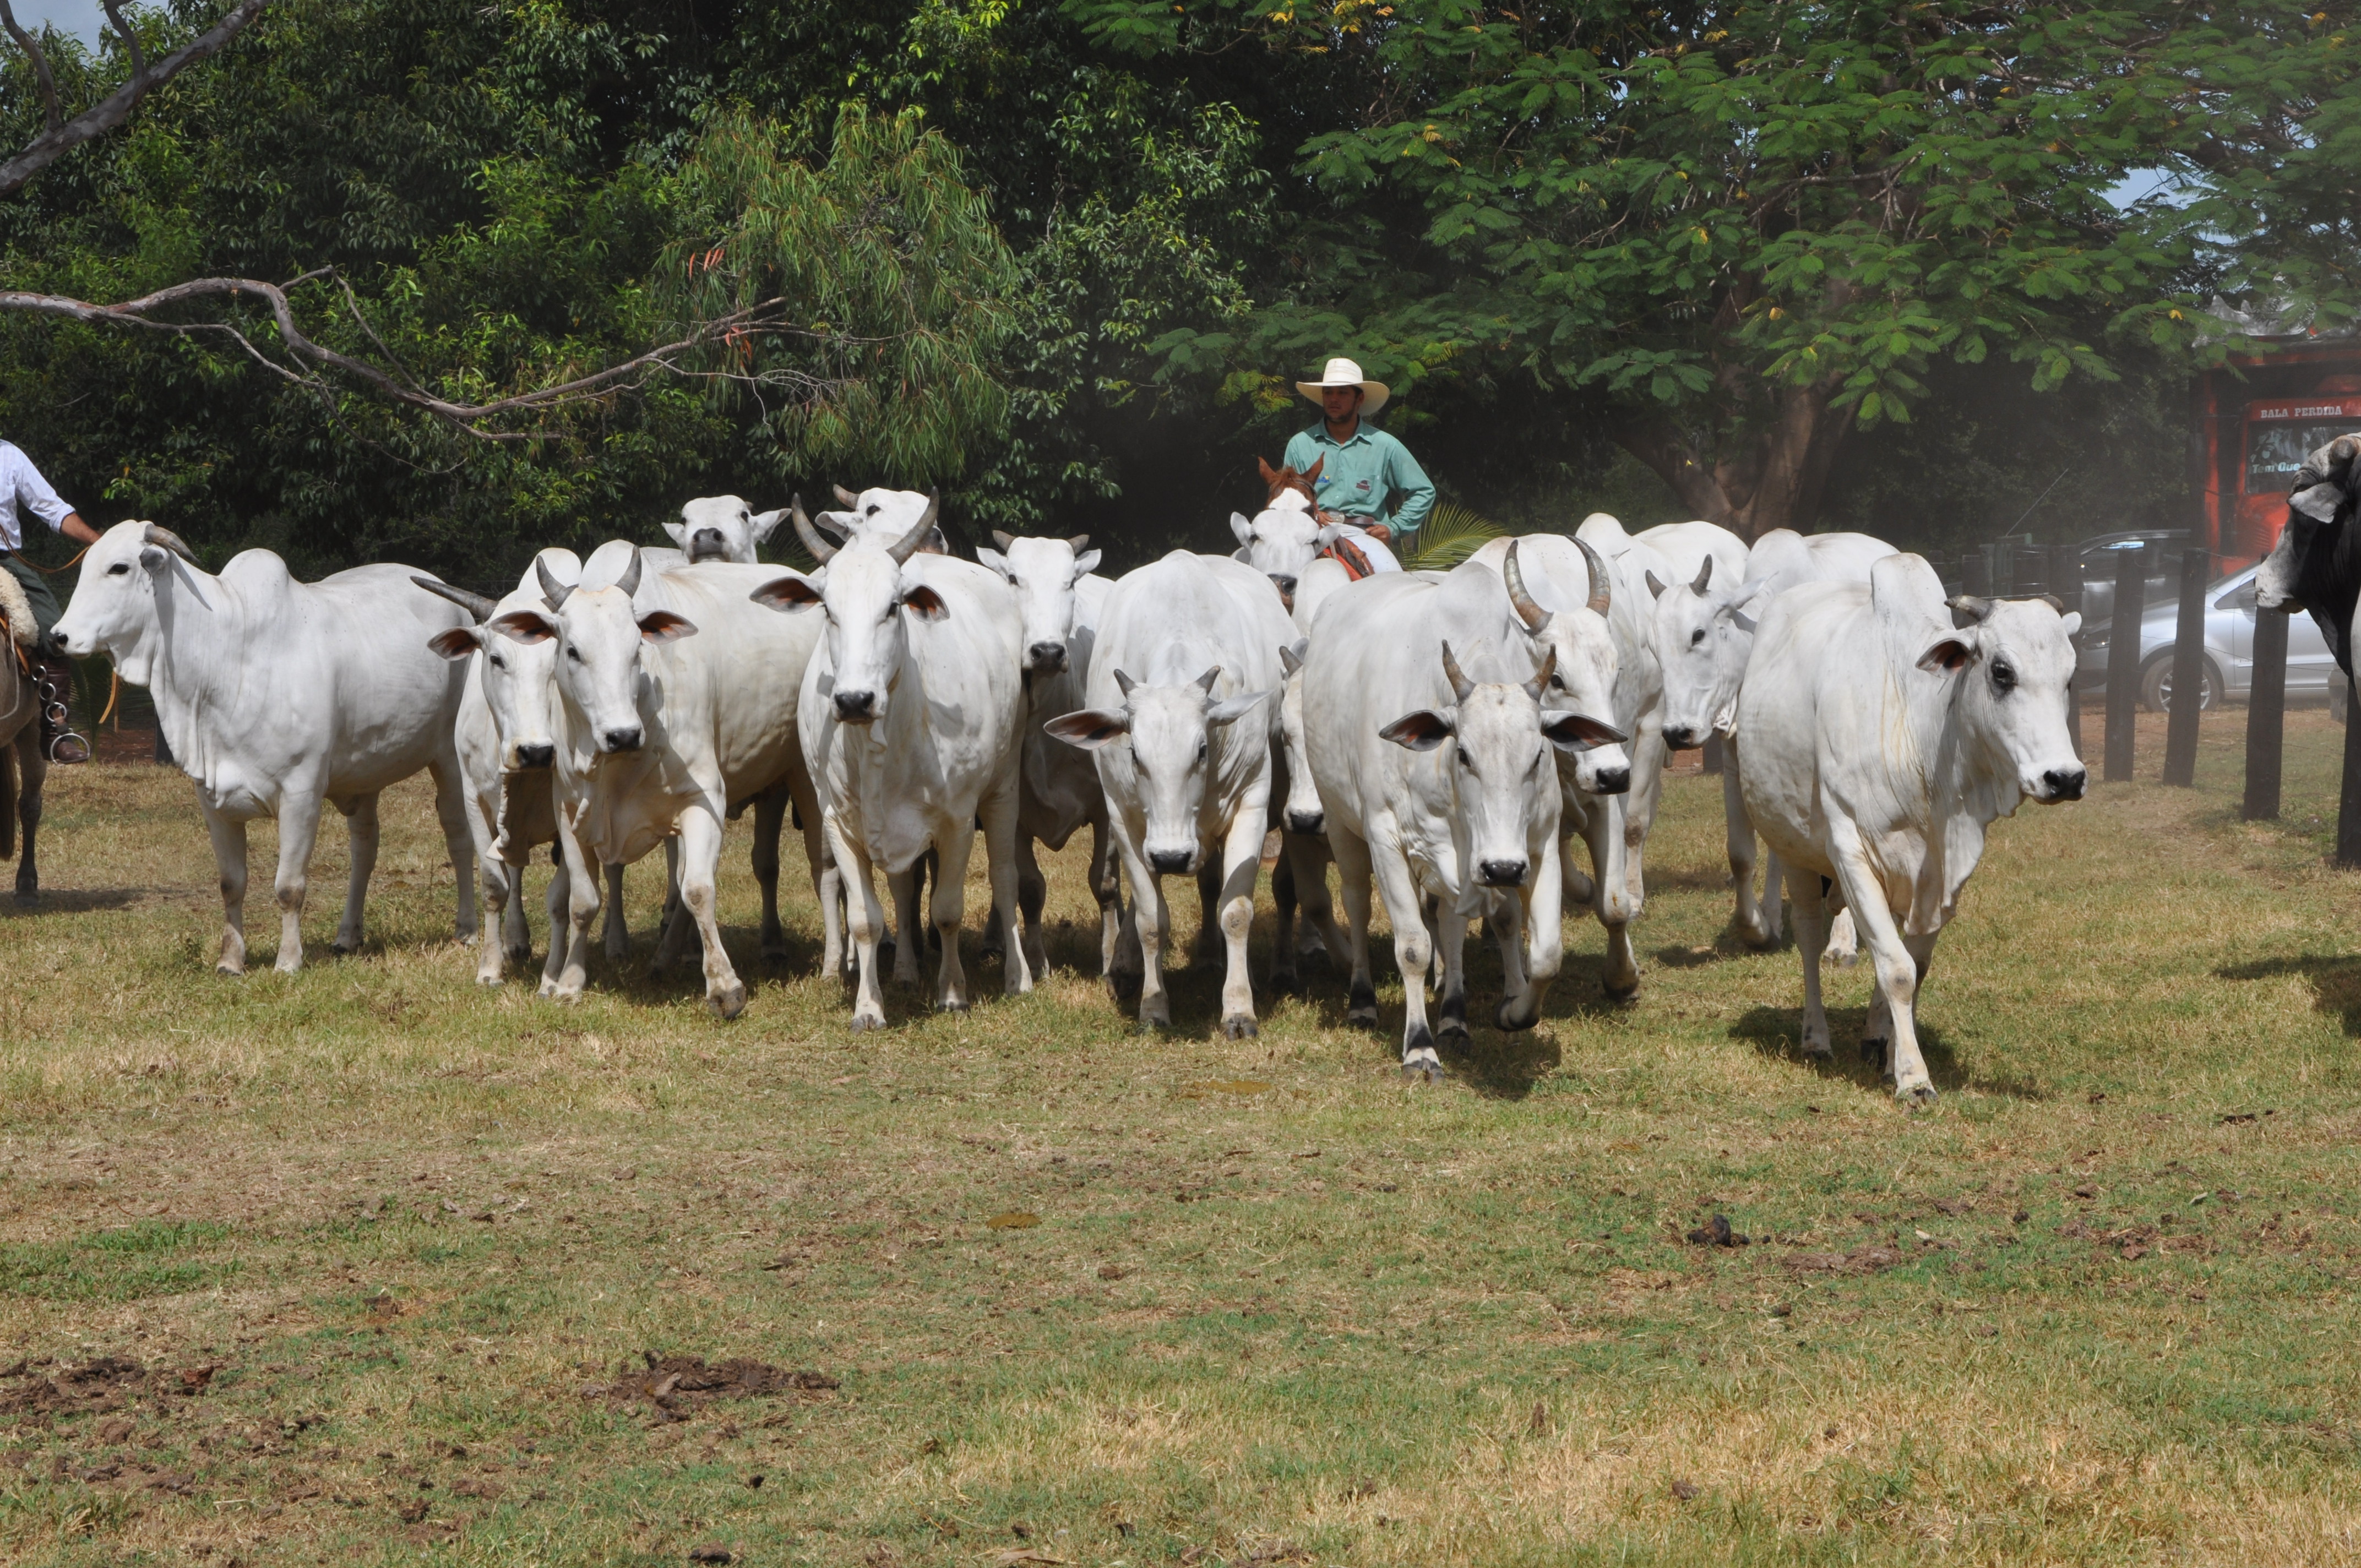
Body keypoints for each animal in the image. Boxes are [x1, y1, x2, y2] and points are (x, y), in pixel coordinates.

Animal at [56, 519, 474, 973]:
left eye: (119, 568)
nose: (59, 636)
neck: (225, 659)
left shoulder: (301, 793)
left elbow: (289, 887)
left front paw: (288, 961)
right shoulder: (211, 797)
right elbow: (231, 884)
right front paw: (230, 960)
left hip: (450, 759)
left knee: (459, 835)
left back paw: (466, 930)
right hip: (365, 773)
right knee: (365, 847)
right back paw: (348, 935)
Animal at [750, 493, 1029, 1030]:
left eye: (893, 607)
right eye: (827, 609)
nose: (854, 700)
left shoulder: (958, 820)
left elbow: (948, 909)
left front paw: (953, 993)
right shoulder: (839, 822)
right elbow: (866, 918)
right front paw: (869, 1007)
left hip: (1005, 787)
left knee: (1005, 879)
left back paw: (1018, 976)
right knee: (903, 886)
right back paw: (903, 971)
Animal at [977, 529, 1124, 968]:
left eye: (1070, 581)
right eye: (1012, 578)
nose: (1047, 652)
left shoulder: (1106, 807)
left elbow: (1104, 883)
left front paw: (1110, 957)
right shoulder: (1012, 811)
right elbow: (1029, 888)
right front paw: (1037, 962)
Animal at [1053, 554, 1293, 1039]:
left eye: (1202, 750)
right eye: (1134, 753)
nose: (1171, 857)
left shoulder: (1253, 806)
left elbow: (1235, 911)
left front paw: (1239, 1009)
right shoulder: (1125, 821)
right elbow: (1151, 921)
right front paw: (1153, 1006)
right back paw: (1129, 967)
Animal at [1737, 550, 2087, 1100]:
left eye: (2069, 677)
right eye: (2002, 672)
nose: (2066, 777)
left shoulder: (1941, 876)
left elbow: (1913, 967)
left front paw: (1891, 1056)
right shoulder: (1851, 854)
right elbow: (1897, 969)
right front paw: (1914, 1079)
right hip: (1793, 848)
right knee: (1810, 936)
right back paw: (1816, 1037)